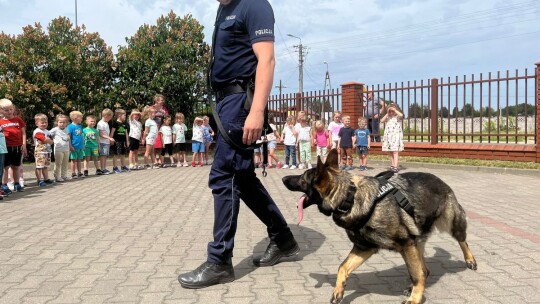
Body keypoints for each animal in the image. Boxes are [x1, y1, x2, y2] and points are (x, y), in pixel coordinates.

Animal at [282, 150, 476, 304]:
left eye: (302, 178)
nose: (283, 178)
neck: (349, 198)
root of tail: (439, 179)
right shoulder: (365, 247)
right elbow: (343, 267)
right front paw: (338, 291)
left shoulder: (406, 244)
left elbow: (415, 274)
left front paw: (415, 299)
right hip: (416, 243)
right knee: (425, 270)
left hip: (450, 224)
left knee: (461, 240)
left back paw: (470, 260)